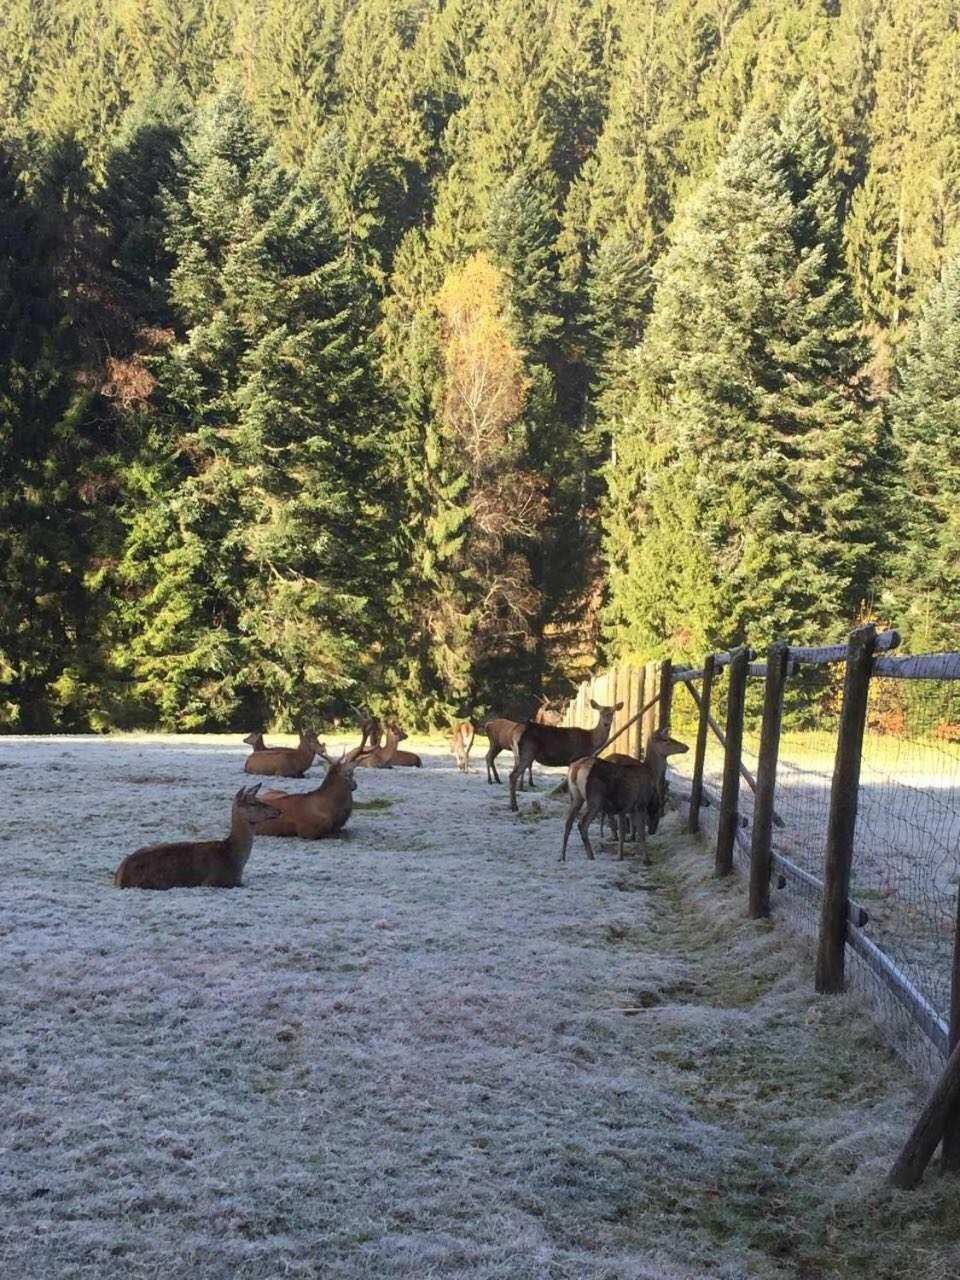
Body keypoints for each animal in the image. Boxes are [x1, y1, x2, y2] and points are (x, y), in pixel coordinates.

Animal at [113, 778, 280, 890]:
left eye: (259, 799)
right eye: (253, 803)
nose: (278, 811)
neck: (234, 860)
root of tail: (119, 876)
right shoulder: (212, 881)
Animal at [563, 732, 691, 860]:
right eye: (667, 740)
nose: (686, 746)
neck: (650, 773)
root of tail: (576, 768)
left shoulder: (623, 808)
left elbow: (623, 832)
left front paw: (620, 856)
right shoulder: (640, 804)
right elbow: (641, 833)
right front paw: (646, 859)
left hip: (576, 797)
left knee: (568, 822)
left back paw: (562, 856)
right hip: (595, 798)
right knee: (582, 824)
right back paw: (590, 856)